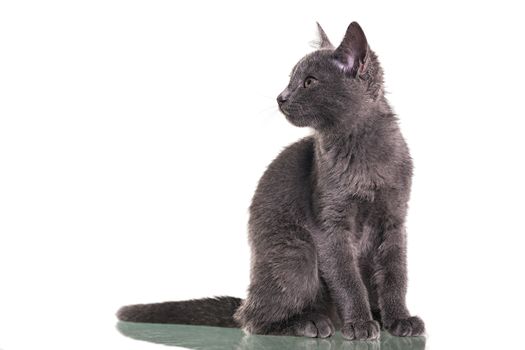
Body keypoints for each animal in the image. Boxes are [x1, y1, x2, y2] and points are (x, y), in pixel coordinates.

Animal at [116, 20, 424, 340]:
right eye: (291, 80)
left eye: (309, 82)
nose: (281, 97)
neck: (362, 150)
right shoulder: (331, 226)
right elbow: (347, 280)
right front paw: (361, 324)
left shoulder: (394, 221)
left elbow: (395, 276)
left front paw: (400, 319)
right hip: (297, 255)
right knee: (255, 319)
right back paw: (312, 322)